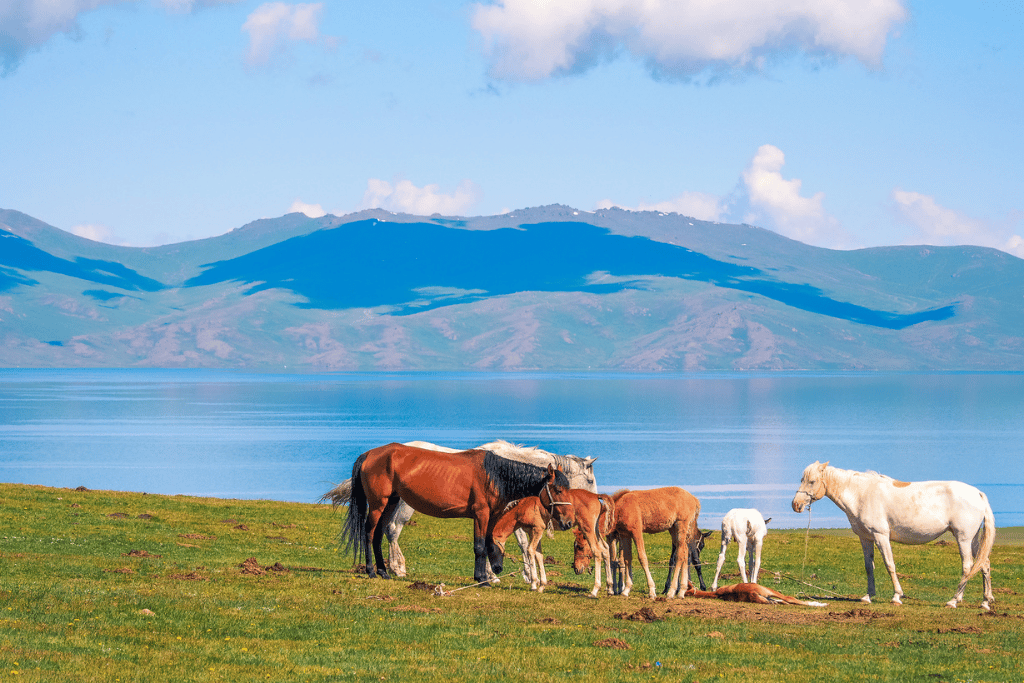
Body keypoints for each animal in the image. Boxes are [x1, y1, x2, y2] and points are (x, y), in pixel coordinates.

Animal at [322, 440, 597, 579]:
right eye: (558, 490)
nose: (569, 521)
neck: (497, 474)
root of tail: (369, 454)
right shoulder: (484, 514)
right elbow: (485, 545)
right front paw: (490, 577)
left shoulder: (495, 514)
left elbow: (493, 543)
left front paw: (494, 573)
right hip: (384, 504)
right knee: (374, 532)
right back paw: (378, 570)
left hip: (391, 502)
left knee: (380, 533)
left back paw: (385, 571)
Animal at [792, 461, 995, 610]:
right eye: (802, 479)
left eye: (812, 481)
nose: (796, 505)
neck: (860, 494)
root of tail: (977, 493)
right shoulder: (865, 538)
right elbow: (869, 567)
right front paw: (868, 596)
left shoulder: (881, 535)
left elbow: (890, 565)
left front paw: (897, 596)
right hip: (973, 540)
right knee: (984, 564)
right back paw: (985, 602)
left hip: (963, 538)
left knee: (968, 566)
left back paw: (953, 601)